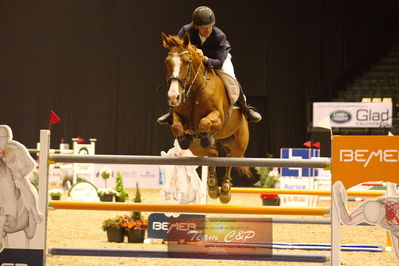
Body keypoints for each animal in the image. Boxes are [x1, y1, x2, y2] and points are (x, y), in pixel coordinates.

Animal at [162, 33, 250, 204]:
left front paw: (206, 136)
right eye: (167, 62)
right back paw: (212, 185)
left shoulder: (219, 117)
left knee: (230, 158)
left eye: (187, 62)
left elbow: (204, 123)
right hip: (196, 150)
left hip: (240, 143)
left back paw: (224, 190)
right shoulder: (178, 115)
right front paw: (185, 139)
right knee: (213, 153)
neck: (195, 90)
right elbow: (177, 126)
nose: (173, 97)